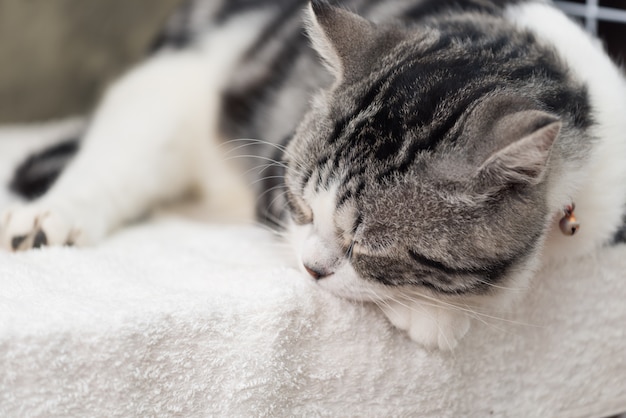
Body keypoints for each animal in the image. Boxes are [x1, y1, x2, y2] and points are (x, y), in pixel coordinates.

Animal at [1, 0, 624, 352]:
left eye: (369, 246)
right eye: (301, 204)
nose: (311, 268)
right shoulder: (272, 178)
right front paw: (433, 316)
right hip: (165, 95)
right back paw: (50, 218)